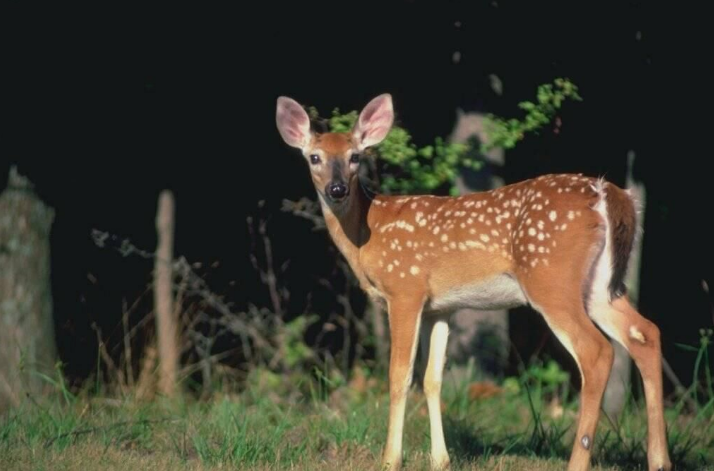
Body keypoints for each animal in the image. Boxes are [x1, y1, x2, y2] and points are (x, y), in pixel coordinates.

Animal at [272, 93, 668, 471]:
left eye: (355, 156)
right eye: (314, 157)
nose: (337, 189)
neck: (369, 233)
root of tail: (608, 193)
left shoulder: (405, 289)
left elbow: (399, 376)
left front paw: (390, 460)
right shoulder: (440, 307)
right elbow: (433, 379)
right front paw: (440, 460)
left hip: (550, 279)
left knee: (597, 351)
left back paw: (578, 462)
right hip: (600, 286)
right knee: (645, 332)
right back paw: (659, 460)